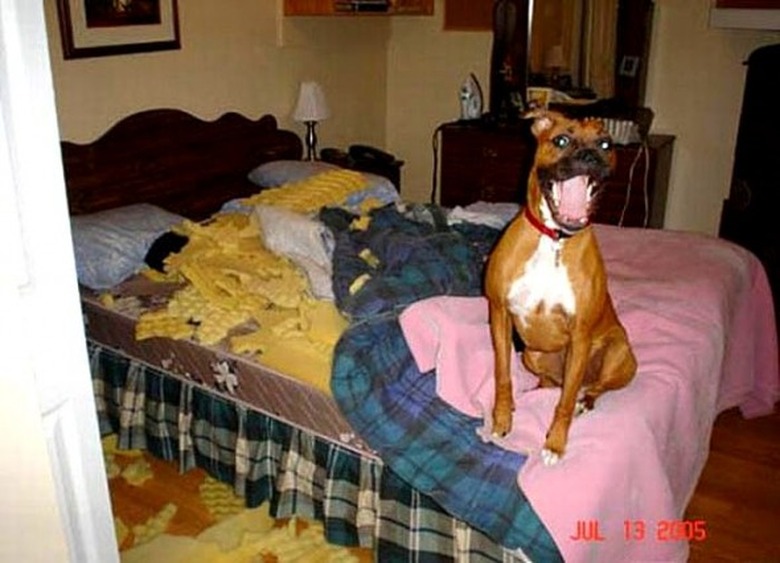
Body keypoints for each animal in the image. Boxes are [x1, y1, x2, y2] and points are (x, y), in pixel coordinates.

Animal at [484, 111, 636, 468]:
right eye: (561, 140)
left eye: (606, 144)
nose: (590, 156)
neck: (554, 240)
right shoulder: (500, 315)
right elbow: (502, 374)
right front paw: (502, 417)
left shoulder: (580, 338)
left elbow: (564, 402)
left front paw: (555, 443)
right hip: (533, 354)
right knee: (550, 383)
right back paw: (535, 393)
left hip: (619, 354)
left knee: (591, 388)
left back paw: (585, 401)